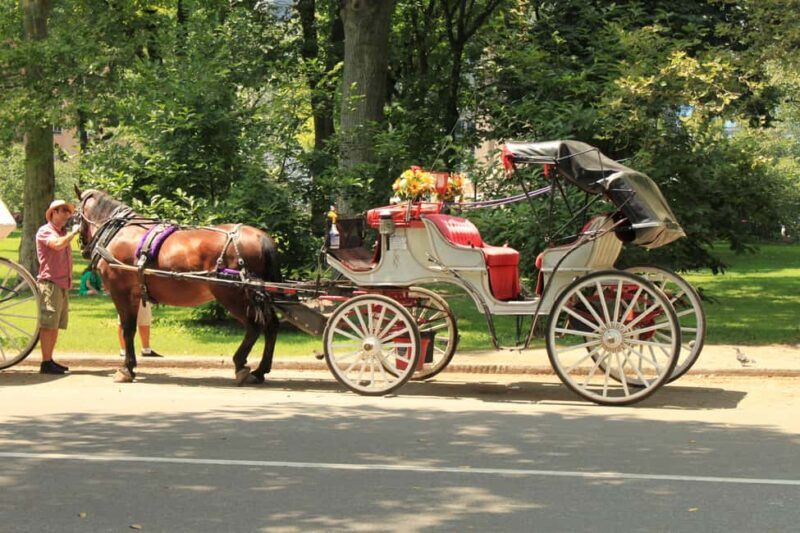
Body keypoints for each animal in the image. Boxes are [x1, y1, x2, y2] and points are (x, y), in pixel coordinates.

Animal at [74, 187, 282, 385]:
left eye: (75, 214)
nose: (83, 248)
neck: (118, 232)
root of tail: (261, 237)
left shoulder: (121, 292)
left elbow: (128, 329)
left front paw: (127, 369)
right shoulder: (134, 295)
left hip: (232, 294)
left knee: (255, 326)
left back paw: (240, 364)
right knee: (271, 325)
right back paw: (260, 370)